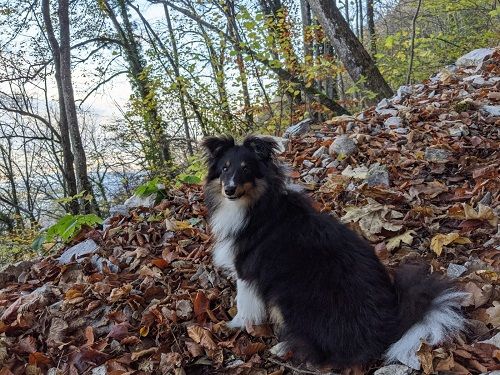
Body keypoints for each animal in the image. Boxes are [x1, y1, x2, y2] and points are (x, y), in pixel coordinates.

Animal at [201, 135, 466, 370]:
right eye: (224, 169)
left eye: (246, 169)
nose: (229, 189)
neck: (255, 205)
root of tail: (389, 325)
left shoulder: (245, 270)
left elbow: (243, 303)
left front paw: (235, 324)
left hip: (288, 296)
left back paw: (284, 348)